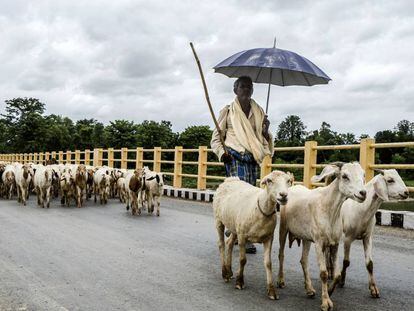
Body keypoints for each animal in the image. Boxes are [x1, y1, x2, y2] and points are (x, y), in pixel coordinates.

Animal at [213, 172, 294, 302]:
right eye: (269, 181)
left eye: (288, 181)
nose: (283, 195)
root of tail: (230, 179)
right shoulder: (242, 236)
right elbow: (243, 260)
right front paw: (240, 282)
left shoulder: (269, 238)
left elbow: (268, 263)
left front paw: (271, 291)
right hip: (219, 220)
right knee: (221, 244)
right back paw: (225, 273)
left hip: (234, 225)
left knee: (229, 243)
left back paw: (229, 271)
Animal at [278, 162, 366, 310]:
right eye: (344, 176)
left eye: (363, 175)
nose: (363, 193)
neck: (329, 209)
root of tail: (292, 187)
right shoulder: (319, 243)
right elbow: (324, 273)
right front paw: (325, 302)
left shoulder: (335, 243)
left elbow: (337, 274)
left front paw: (329, 291)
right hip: (283, 229)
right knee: (281, 255)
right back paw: (280, 281)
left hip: (306, 238)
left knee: (303, 260)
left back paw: (309, 290)